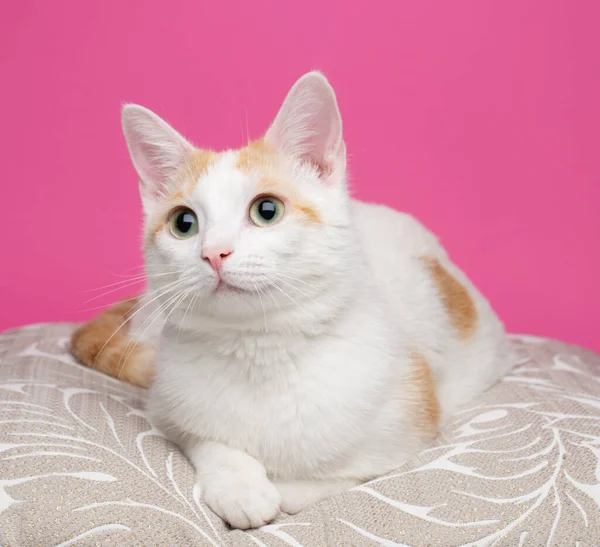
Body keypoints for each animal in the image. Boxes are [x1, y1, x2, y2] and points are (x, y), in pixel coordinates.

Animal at [70, 73, 510, 532]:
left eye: (266, 210)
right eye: (183, 223)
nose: (214, 253)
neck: (259, 348)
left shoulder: (410, 424)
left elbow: (341, 474)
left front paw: (283, 491)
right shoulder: (165, 404)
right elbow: (205, 437)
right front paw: (240, 488)